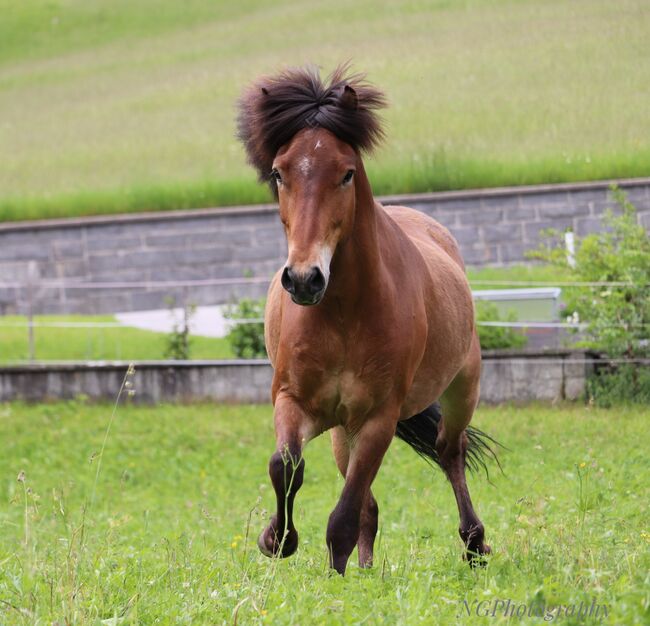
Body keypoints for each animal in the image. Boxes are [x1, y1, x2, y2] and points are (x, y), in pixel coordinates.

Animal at [238, 64, 496, 576]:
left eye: (346, 173)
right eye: (278, 172)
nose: (304, 279)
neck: (342, 315)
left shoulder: (379, 417)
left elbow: (343, 512)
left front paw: (333, 575)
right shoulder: (294, 400)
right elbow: (286, 466)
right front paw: (277, 538)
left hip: (462, 387)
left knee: (448, 452)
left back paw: (474, 543)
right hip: (343, 428)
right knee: (370, 505)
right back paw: (366, 567)